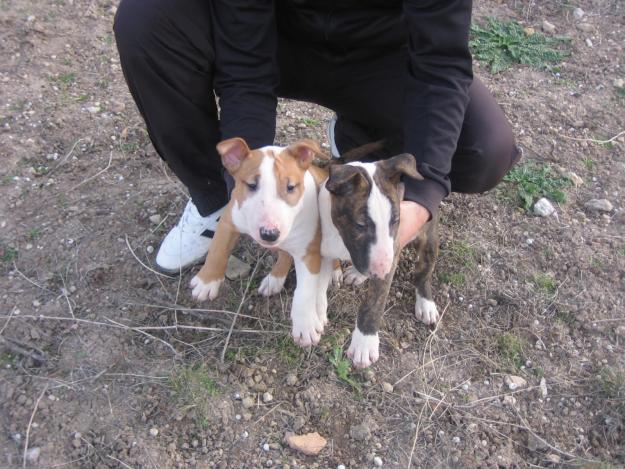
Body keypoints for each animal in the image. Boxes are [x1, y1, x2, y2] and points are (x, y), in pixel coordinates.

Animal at [320, 155, 442, 368]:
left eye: (395, 221)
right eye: (360, 224)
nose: (381, 270)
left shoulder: (391, 253)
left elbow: (374, 304)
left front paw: (364, 343)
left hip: (428, 239)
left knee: (423, 274)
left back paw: (426, 304)